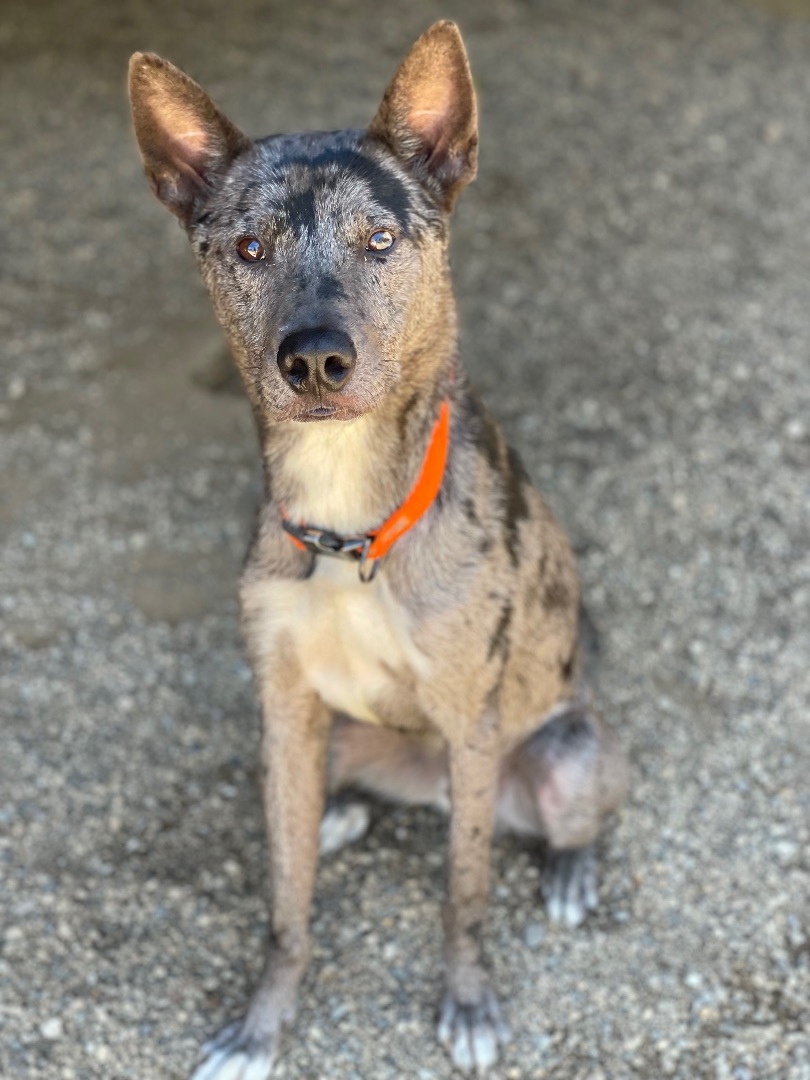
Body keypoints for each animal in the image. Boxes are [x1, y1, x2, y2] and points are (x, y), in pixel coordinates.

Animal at [130, 21, 630, 1075]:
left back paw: (569, 870)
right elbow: (286, 907)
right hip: (332, 736)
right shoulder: (282, 710)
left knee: (565, 816)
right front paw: (262, 1024)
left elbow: (464, 895)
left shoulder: (472, 722)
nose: (316, 359)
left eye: (381, 240)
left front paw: (469, 1002)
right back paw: (341, 812)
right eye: (249, 247)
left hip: (563, 752)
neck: (347, 525)